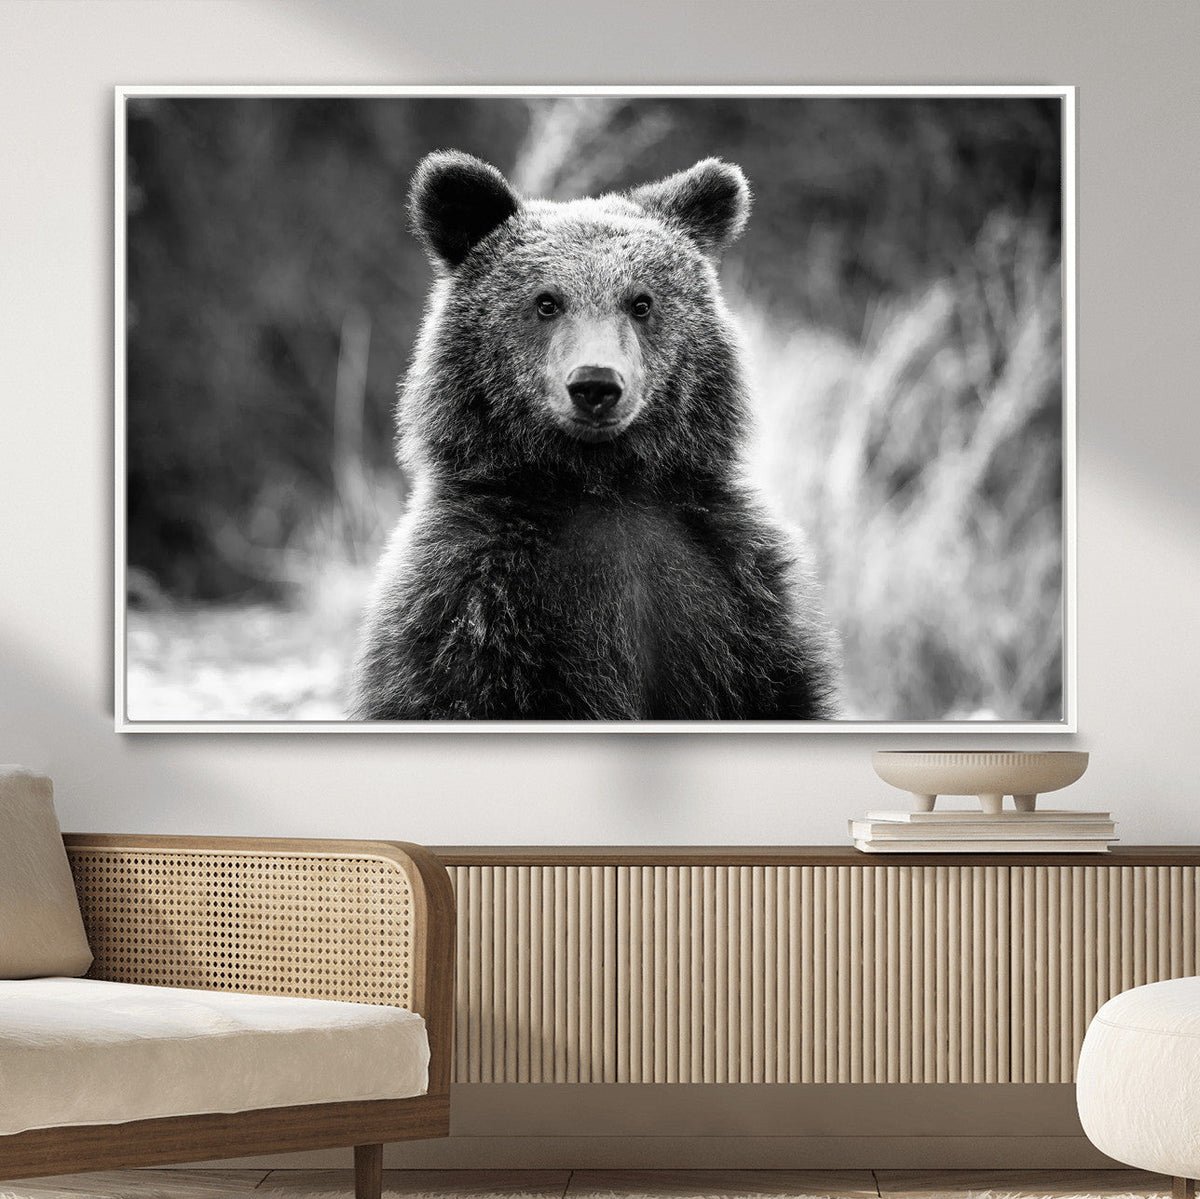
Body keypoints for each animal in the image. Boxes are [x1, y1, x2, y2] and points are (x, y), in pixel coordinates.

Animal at [350, 150, 840, 721]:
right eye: (546, 302)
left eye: (641, 302)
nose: (596, 385)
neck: (601, 485)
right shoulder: (471, 601)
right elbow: (447, 689)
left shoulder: (736, 594)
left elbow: (778, 689)